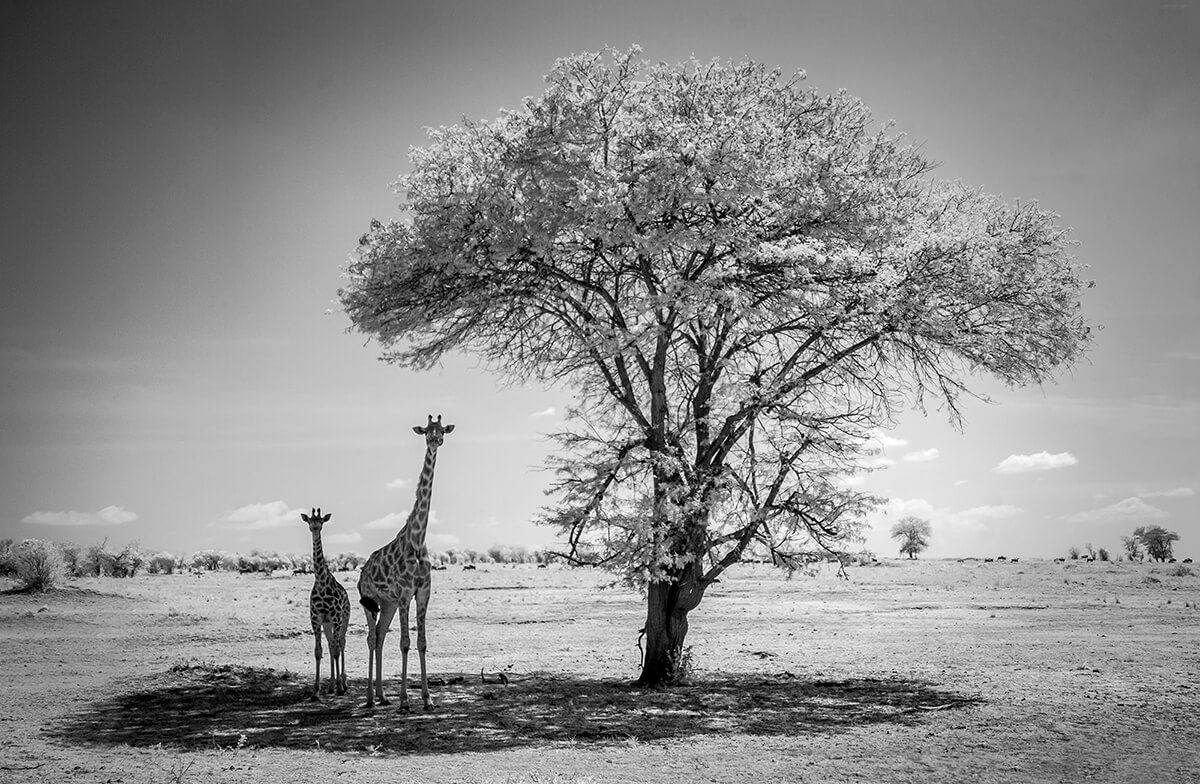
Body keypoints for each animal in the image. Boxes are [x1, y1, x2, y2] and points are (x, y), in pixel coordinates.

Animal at [302, 506, 350, 696]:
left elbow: (336, 650)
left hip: (343, 618)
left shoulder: (336, 618)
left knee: (341, 644)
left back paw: (342, 682)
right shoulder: (316, 618)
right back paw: (331, 685)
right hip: (327, 623)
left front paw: (340, 687)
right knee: (331, 645)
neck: (322, 582)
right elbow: (318, 651)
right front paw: (316, 690)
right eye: (309, 520)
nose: (314, 528)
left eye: (321, 521)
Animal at [355, 415, 453, 710]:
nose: (434, 440)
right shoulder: (404, 594)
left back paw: (381, 695)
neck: (418, 541)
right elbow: (405, 642)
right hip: (370, 601)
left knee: (380, 636)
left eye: (442, 430)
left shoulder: (422, 592)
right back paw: (370, 698)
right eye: (426, 430)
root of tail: (362, 573)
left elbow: (421, 642)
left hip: (386, 604)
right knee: (372, 637)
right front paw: (405, 702)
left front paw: (427, 699)